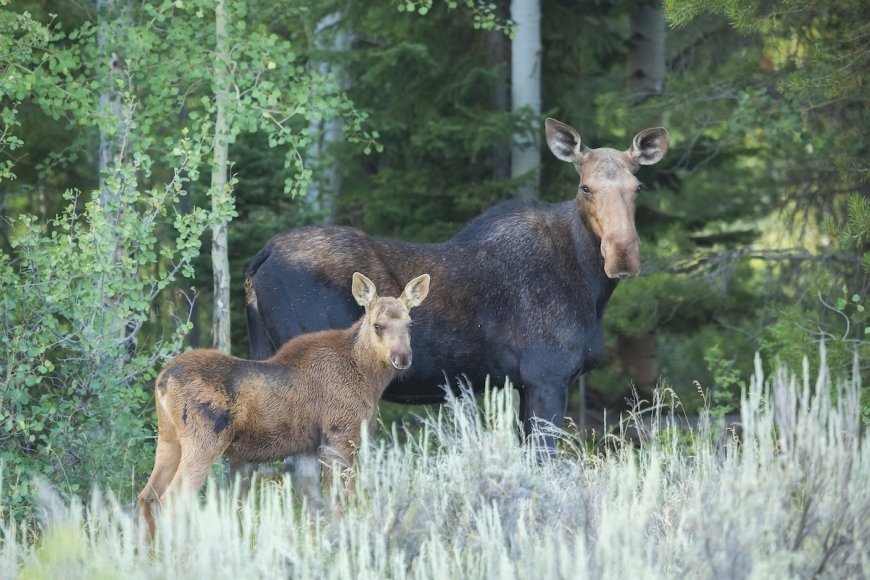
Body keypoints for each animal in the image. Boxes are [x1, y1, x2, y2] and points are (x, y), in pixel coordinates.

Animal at [137, 272, 430, 537]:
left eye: (410, 324)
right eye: (377, 325)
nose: (402, 357)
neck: (369, 379)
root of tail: (162, 381)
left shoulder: (310, 447)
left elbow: (316, 505)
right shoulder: (340, 436)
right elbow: (339, 501)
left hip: (168, 439)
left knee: (147, 496)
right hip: (203, 441)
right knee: (173, 500)